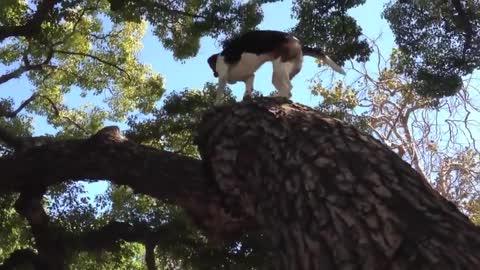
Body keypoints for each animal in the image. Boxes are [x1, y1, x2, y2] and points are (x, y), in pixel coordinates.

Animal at [206, 29, 344, 100]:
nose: (214, 74)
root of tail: (299, 43)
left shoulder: (223, 76)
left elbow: (218, 95)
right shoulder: (249, 77)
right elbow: (248, 91)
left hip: (279, 68)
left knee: (289, 89)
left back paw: (274, 98)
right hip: (280, 74)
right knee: (287, 91)